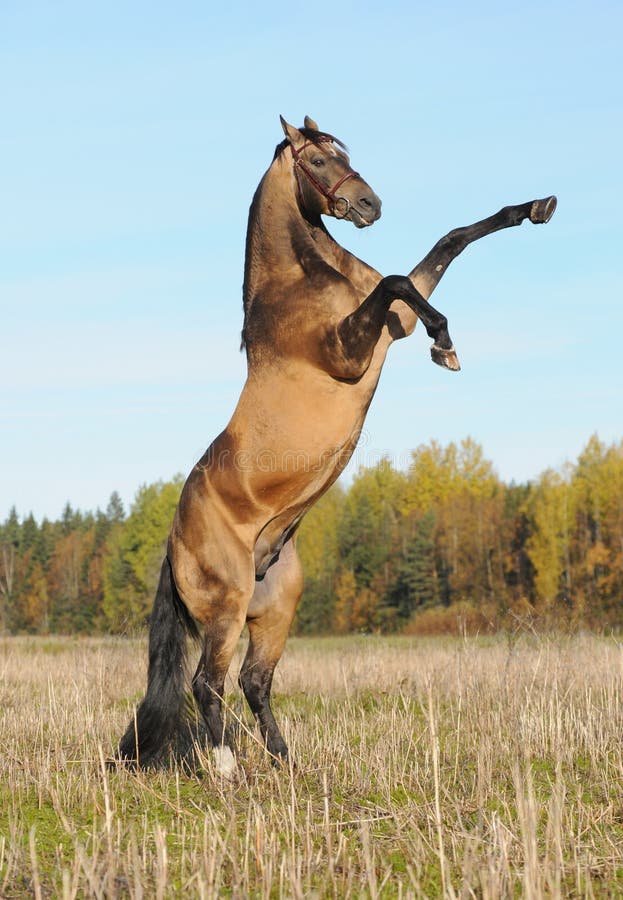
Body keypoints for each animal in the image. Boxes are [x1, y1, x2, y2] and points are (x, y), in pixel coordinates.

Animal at [119, 114, 560, 772]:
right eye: (318, 162)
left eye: (343, 152)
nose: (370, 204)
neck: (297, 283)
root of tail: (175, 546)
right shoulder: (353, 348)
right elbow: (402, 281)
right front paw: (445, 343)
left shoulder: (391, 325)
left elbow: (447, 243)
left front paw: (533, 209)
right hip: (225, 608)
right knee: (207, 683)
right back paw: (227, 771)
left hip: (275, 608)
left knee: (253, 681)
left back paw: (285, 763)